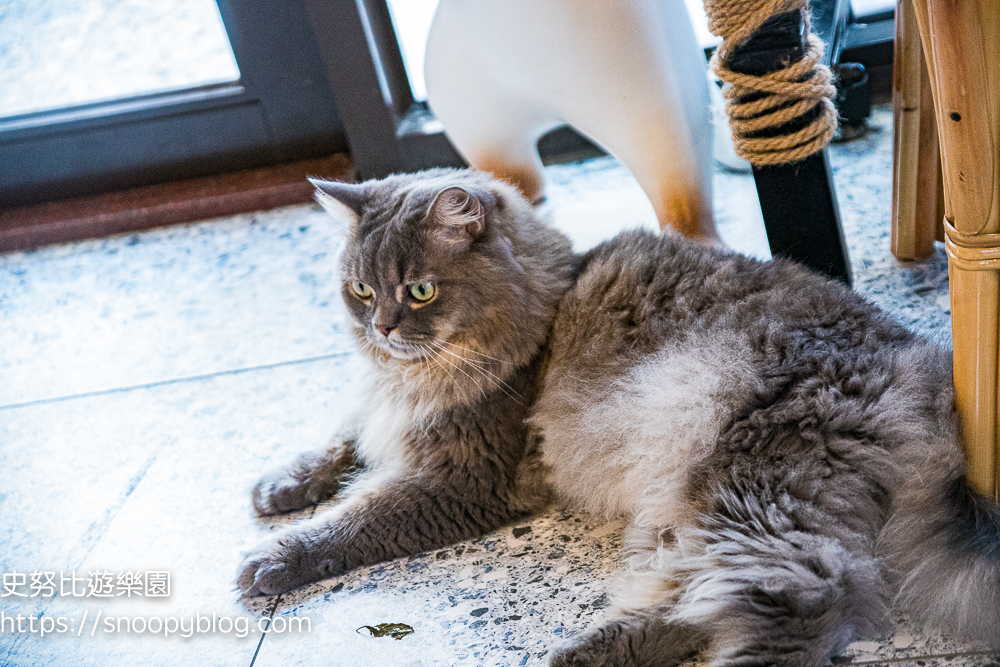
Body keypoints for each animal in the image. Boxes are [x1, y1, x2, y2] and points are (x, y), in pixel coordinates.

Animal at [240, 170, 1000, 664]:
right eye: (360, 290)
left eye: (421, 291)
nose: (382, 329)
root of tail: (927, 370)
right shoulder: (386, 411)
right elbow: (340, 442)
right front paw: (281, 486)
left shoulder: (462, 474)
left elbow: (358, 518)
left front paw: (271, 559)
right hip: (703, 503)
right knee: (699, 598)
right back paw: (586, 650)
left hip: (752, 484)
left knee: (806, 596)